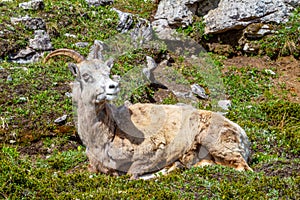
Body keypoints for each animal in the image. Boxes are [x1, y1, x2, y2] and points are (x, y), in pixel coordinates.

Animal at [43, 47, 252, 180]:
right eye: (86, 76)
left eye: (108, 73)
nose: (113, 87)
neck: (107, 135)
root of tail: (243, 136)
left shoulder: (150, 154)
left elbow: (132, 175)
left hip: (217, 144)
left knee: (243, 168)